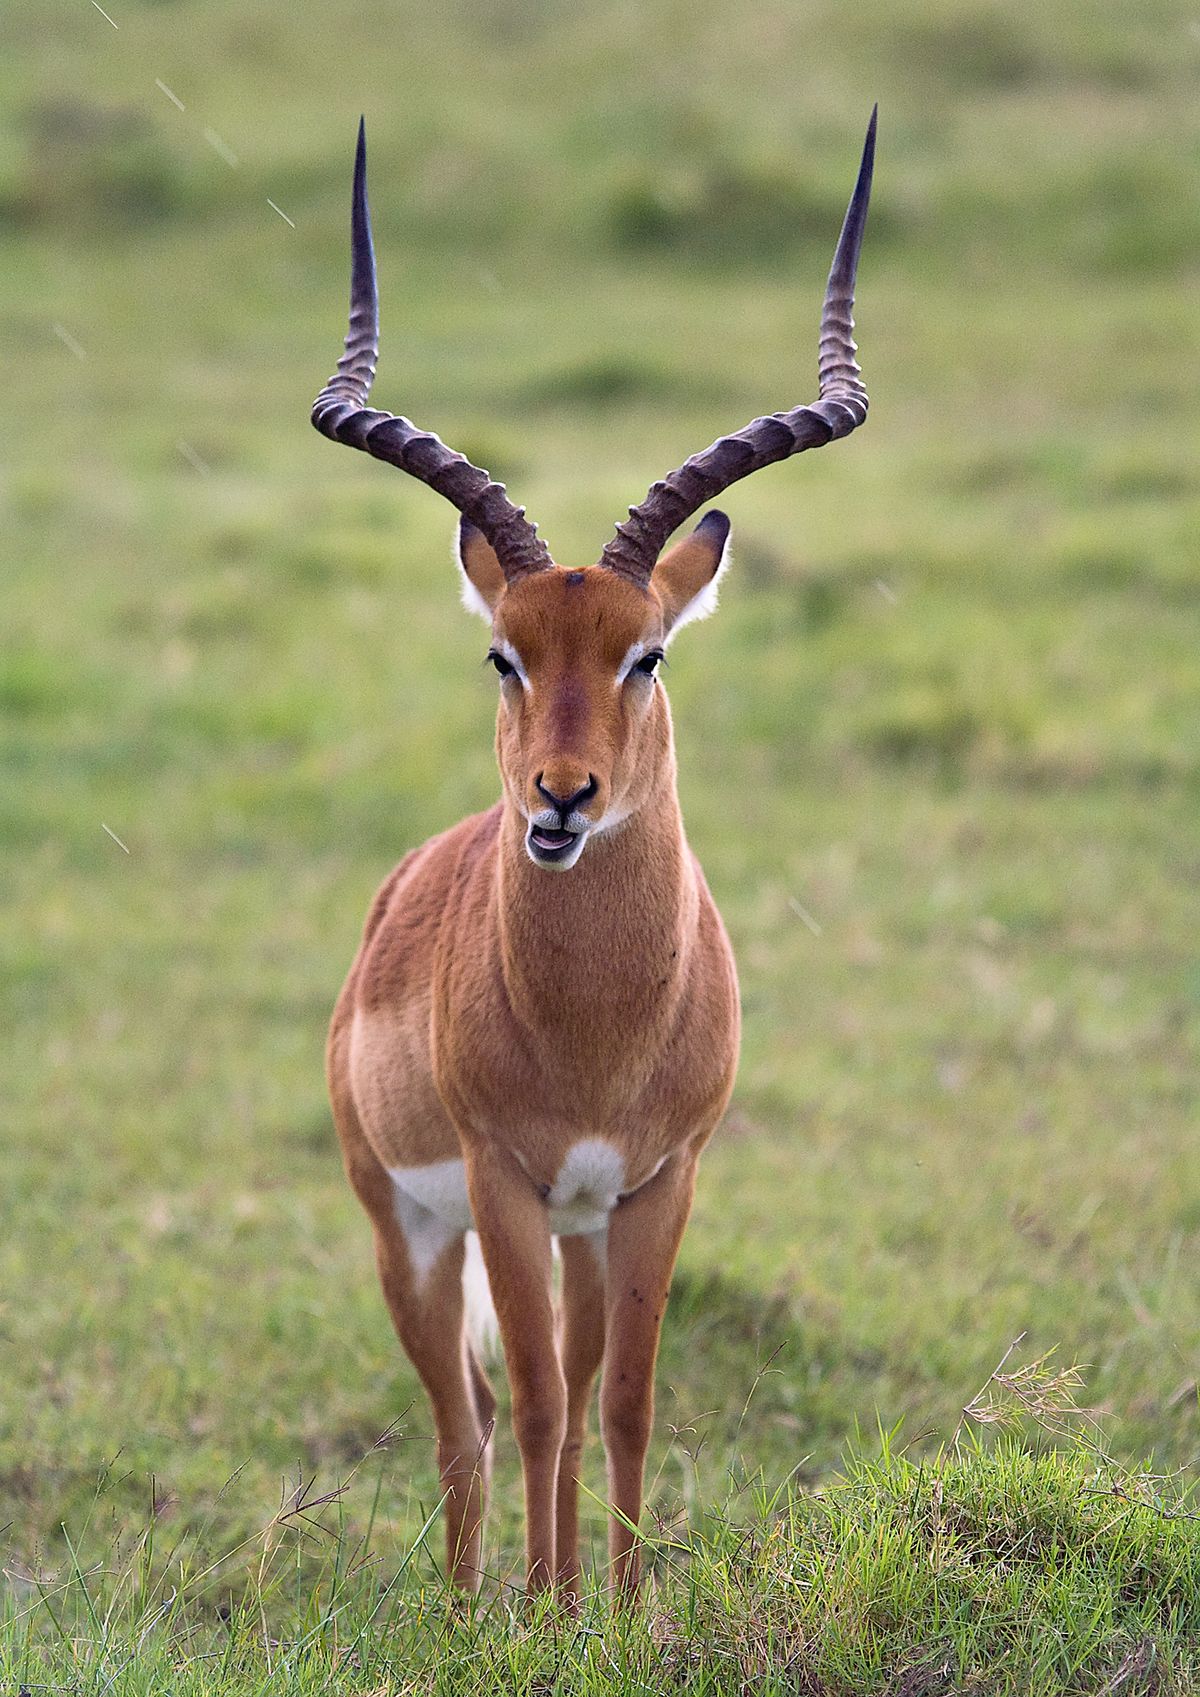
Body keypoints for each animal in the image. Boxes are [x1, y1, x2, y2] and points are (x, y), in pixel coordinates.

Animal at [313, 109, 875, 1600]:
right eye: (504, 654)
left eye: (648, 653)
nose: (559, 801)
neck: (599, 1021)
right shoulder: (504, 1181)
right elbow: (538, 1406)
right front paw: (544, 1612)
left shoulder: (654, 1179)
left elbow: (621, 1397)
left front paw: (620, 1612)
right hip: (409, 1223)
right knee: (466, 1412)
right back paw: (468, 1607)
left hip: (572, 1225)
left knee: (546, 1391)